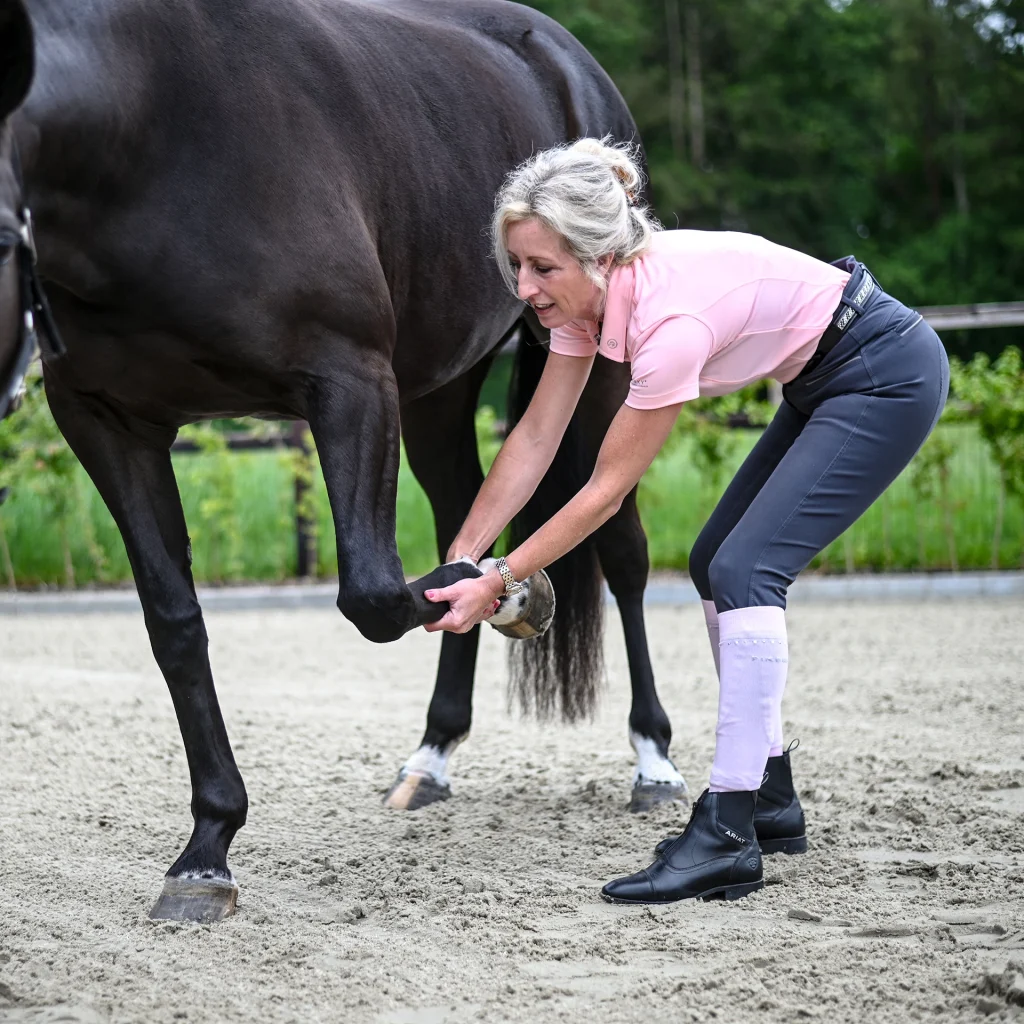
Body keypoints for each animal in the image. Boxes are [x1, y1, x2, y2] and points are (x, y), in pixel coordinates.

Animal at [0, 0, 686, 922]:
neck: (153, 127)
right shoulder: (108, 422)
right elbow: (175, 623)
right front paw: (205, 851)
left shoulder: (351, 381)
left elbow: (373, 593)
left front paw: (515, 595)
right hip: (440, 388)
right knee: (466, 506)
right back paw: (431, 756)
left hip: (600, 360)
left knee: (621, 548)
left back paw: (654, 761)